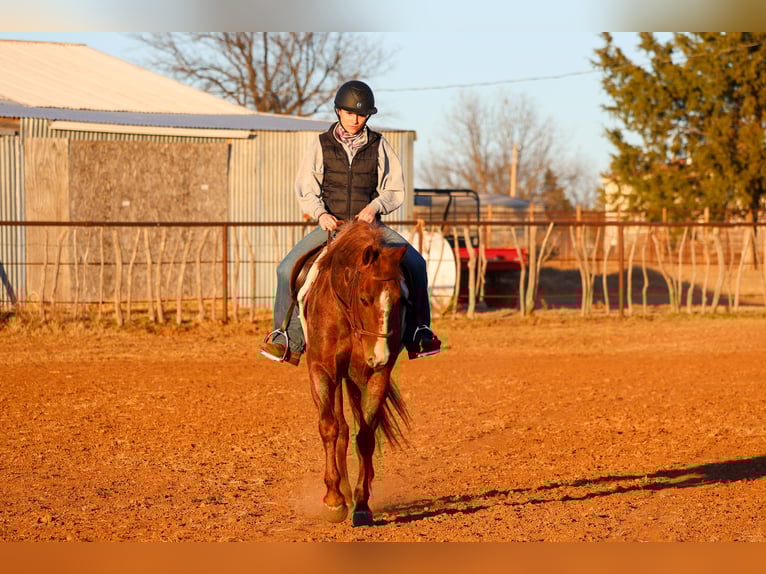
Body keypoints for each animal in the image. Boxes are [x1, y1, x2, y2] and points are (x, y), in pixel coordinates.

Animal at [298, 220, 410, 527]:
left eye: (400, 300)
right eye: (364, 298)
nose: (379, 356)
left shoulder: (376, 376)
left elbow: (366, 436)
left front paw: (361, 504)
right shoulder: (322, 370)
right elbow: (330, 428)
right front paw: (334, 500)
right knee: (341, 428)